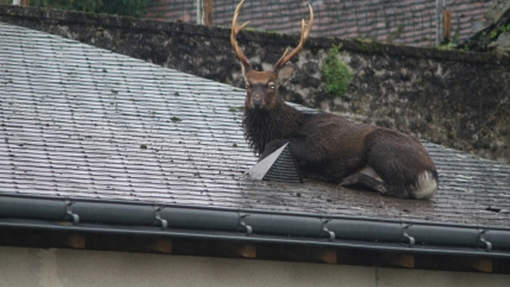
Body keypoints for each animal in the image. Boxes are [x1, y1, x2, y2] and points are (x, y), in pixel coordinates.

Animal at [231, 0, 438, 200]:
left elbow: (276, 145)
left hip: (382, 147)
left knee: (398, 189)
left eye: (272, 85)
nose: (257, 102)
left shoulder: (318, 148)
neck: (284, 127)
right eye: (248, 84)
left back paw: (352, 179)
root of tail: (430, 176)